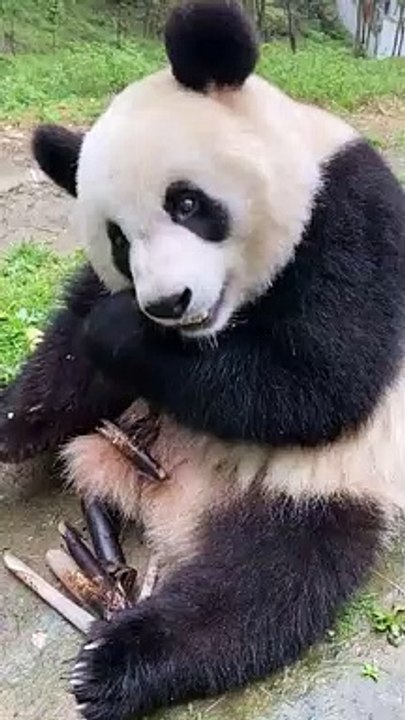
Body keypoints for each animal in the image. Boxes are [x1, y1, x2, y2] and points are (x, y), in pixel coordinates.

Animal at [1, 2, 405, 719]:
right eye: (117, 239)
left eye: (187, 203)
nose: (168, 303)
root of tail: (166, 508)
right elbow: (70, 346)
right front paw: (14, 420)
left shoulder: (350, 214)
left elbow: (319, 384)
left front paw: (119, 330)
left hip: (323, 486)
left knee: (263, 589)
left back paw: (114, 661)